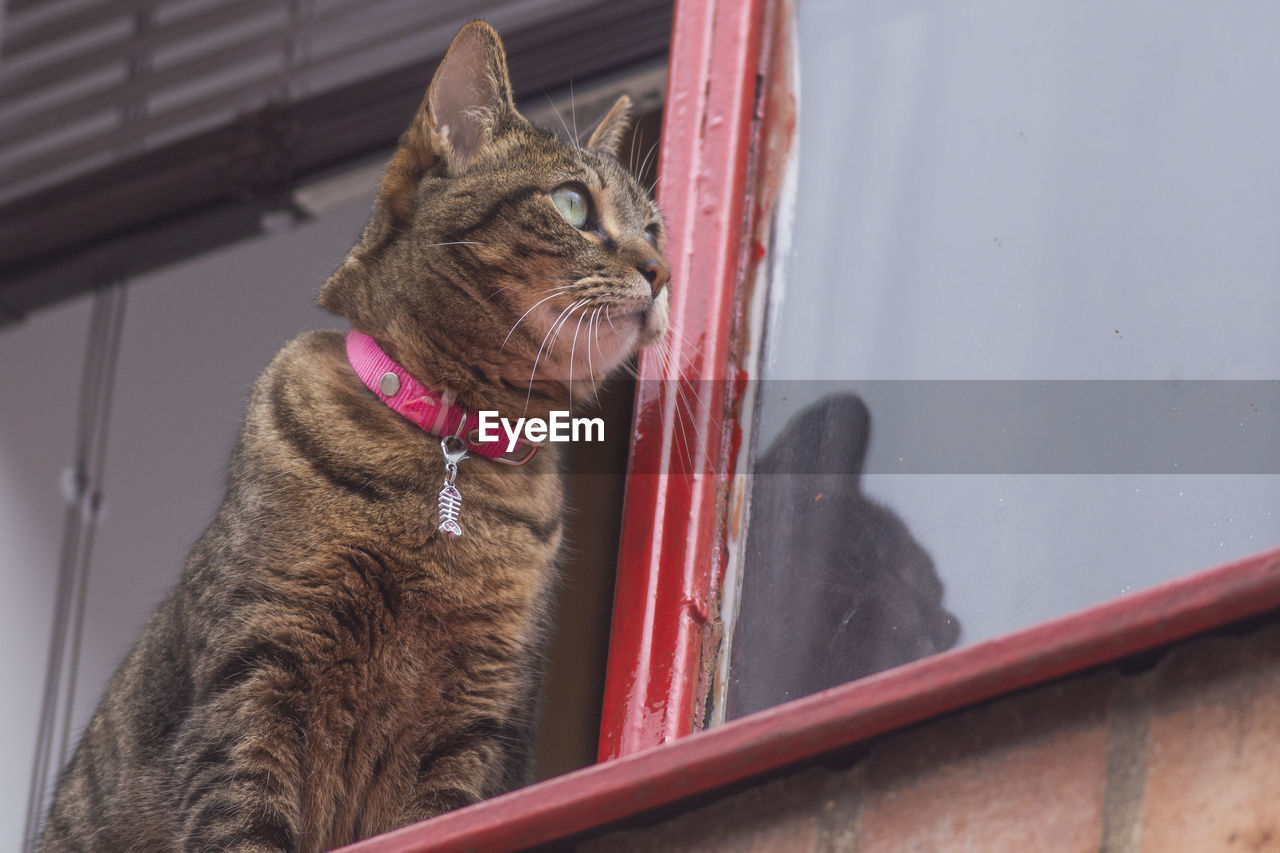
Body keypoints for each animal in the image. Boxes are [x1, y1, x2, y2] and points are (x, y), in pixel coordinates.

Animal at [40, 21, 670, 850]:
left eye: (655, 226)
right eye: (572, 204)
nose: (662, 269)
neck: (447, 444)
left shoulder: (480, 717)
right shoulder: (257, 668)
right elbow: (243, 822)